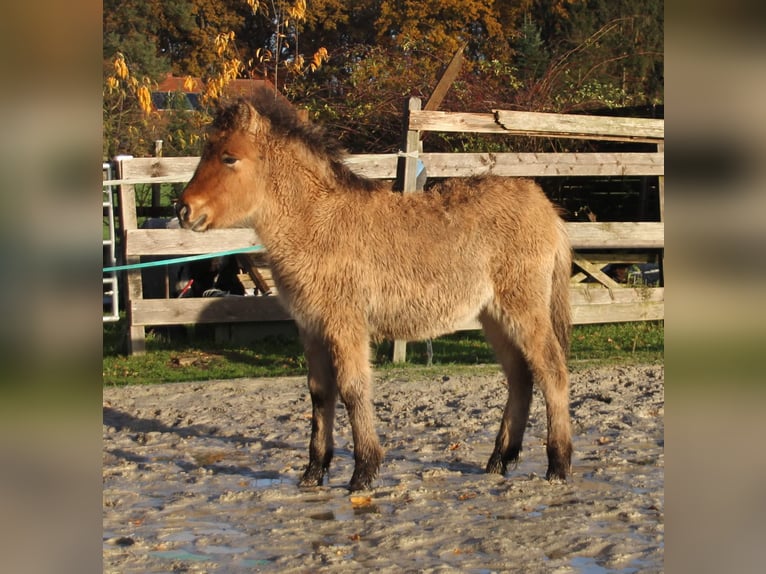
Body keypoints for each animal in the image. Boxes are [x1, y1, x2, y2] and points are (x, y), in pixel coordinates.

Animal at [176, 89, 573, 491]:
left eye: (229, 157)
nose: (183, 210)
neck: (317, 223)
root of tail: (546, 208)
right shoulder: (310, 327)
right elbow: (319, 393)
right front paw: (314, 472)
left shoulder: (345, 323)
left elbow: (353, 388)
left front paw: (363, 472)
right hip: (493, 316)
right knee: (520, 377)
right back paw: (499, 460)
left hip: (524, 309)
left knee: (552, 371)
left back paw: (558, 465)